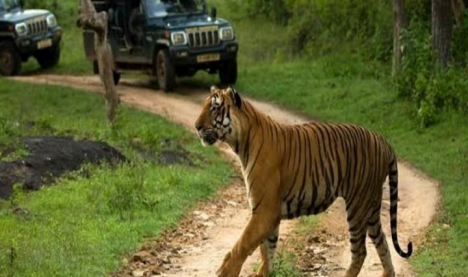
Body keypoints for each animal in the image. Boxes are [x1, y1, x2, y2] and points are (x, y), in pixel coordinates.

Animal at [195, 85, 414, 274]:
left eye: (215, 107)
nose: (197, 127)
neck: (241, 142)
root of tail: (384, 141)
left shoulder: (265, 210)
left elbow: (242, 245)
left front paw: (225, 271)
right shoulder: (268, 213)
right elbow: (267, 253)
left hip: (358, 204)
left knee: (360, 251)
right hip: (372, 205)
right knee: (382, 242)